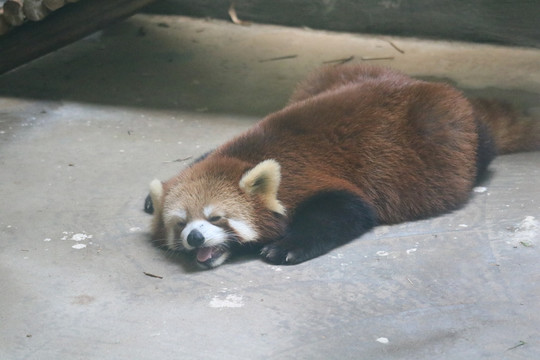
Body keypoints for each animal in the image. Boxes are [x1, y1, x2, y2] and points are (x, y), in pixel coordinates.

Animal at [143, 64, 540, 268]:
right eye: (180, 223)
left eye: (217, 218)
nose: (194, 238)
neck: (246, 155)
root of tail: (421, 80)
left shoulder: (315, 179)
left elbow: (345, 210)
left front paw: (285, 247)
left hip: (453, 133)